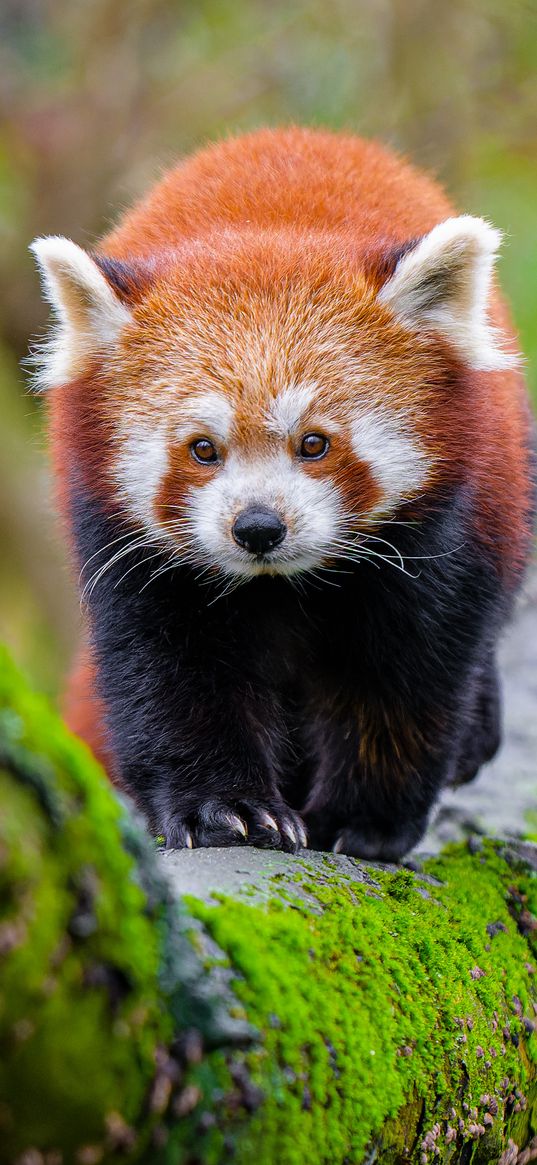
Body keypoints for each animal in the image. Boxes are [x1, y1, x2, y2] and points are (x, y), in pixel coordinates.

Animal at [31, 129, 533, 857]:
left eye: (314, 443)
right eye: (202, 448)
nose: (259, 527)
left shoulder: (447, 520)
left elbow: (405, 672)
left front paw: (362, 821)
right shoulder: (122, 536)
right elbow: (172, 673)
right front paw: (226, 811)